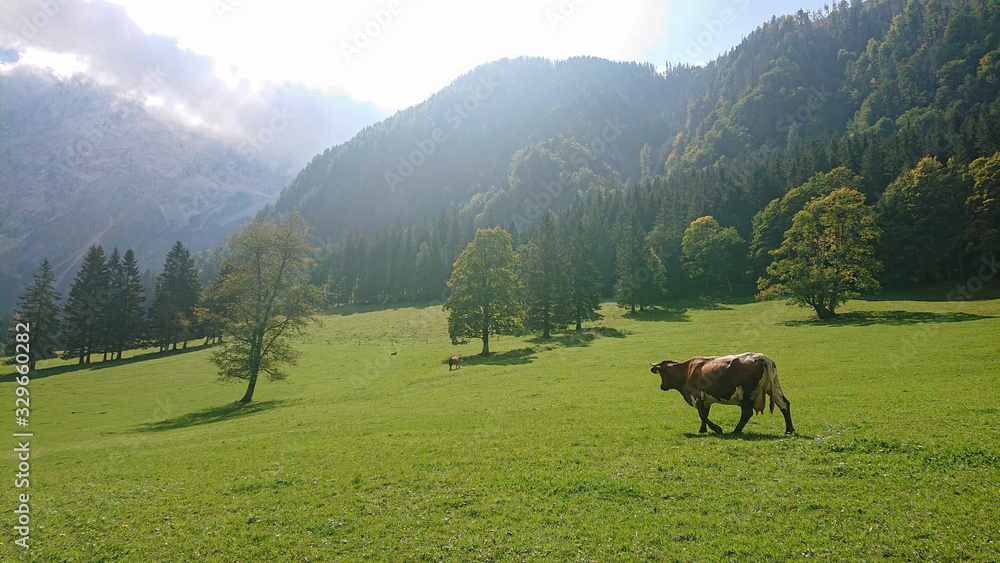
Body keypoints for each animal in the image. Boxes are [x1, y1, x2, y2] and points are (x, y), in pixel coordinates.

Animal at [648, 352, 796, 436]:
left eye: (662, 373)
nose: (661, 386)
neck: (687, 370)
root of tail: (759, 356)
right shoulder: (706, 399)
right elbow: (705, 414)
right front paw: (702, 430)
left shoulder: (697, 396)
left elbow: (702, 414)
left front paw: (716, 428)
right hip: (774, 388)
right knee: (784, 404)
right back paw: (789, 429)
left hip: (746, 394)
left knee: (747, 413)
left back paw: (736, 431)